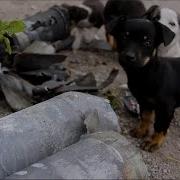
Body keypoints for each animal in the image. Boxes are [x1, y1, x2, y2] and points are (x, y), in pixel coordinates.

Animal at [107, 17, 179, 152]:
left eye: (147, 43)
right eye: (124, 37)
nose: (129, 56)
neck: (146, 73)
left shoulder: (166, 108)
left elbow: (160, 126)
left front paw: (154, 142)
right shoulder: (144, 102)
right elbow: (145, 117)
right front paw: (141, 131)